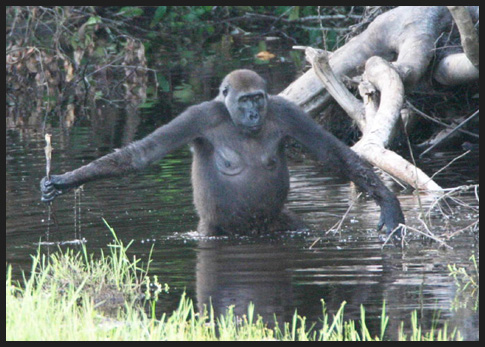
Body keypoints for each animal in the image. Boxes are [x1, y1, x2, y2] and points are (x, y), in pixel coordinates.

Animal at [41, 68, 402, 237]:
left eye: (258, 98)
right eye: (244, 101)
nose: (254, 114)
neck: (233, 117)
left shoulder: (286, 111)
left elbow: (333, 153)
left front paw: (389, 205)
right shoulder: (197, 116)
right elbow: (142, 154)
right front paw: (67, 180)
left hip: (277, 225)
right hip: (212, 231)